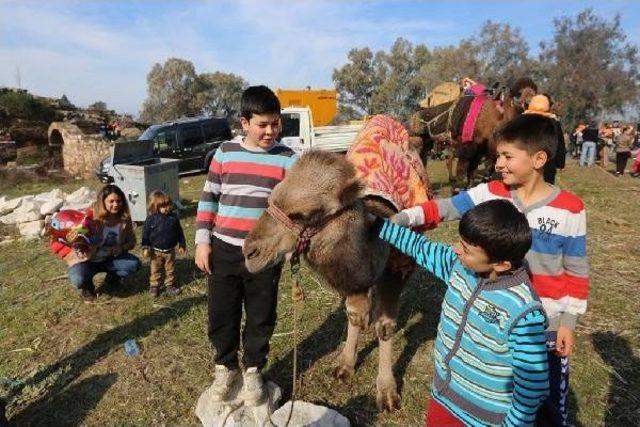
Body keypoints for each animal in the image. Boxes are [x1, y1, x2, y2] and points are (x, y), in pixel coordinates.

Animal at [242, 116, 432, 412]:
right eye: (271, 200)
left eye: (302, 214)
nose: (250, 252)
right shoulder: (353, 280)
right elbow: (354, 314)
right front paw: (345, 365)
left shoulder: (397, 269)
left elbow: (385, 326)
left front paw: (387, 393)